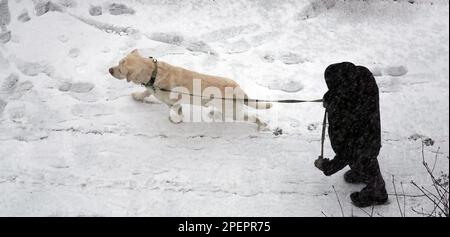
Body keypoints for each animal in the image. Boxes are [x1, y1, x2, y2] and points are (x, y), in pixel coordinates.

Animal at [109, 48, 270, 129]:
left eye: (120, 69)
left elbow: (175, 109)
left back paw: (262, 125)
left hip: (233, 112)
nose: (109, 70)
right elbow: (146, 92)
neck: (154, 72)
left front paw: (176, 119)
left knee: (253, 117)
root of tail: (239, 89)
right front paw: (138, 96)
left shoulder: (174, 101)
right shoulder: (152, 88)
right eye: (117, 64)